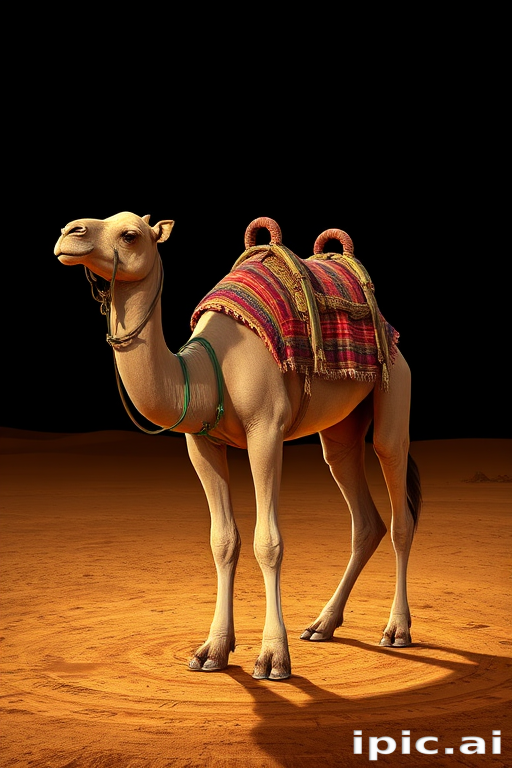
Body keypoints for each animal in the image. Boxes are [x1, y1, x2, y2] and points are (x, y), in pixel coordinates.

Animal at [54, 211, 421, 681]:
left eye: (131, 234)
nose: (69, 233)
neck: (204, 371)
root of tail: (388, 328)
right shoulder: (200, 442)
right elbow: (223, 541)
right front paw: (212, 651)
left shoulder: (266, 430)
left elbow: (269, 542)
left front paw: (273, 659)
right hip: (341, 427)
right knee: (360, 508)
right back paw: (321, 625)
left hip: (394, 384)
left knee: (398, 500)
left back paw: (397, 630)